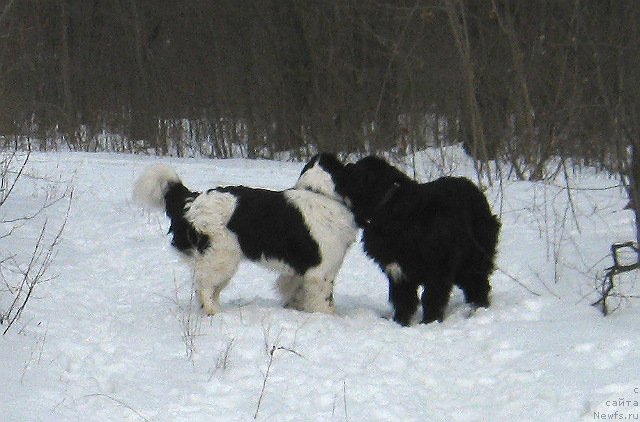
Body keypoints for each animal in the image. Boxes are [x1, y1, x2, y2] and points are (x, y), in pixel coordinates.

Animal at [133, 165, 358, 316]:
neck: (323, 195)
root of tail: (192, 200)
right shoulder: (321, 272)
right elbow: (324, 301)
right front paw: (328, 318)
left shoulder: (301, 270)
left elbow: (293, 288)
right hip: (221, 258)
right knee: (203, 287)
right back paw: (213, 312)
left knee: (209, 287)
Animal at [296, 153, 500, 324]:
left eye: (356, 171)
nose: (346, 165)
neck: (389, 207)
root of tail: (474, 187)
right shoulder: (398, 271)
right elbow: (403, 299)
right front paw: (401, 322)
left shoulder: (438, 267)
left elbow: (431, 297)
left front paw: (430, 322)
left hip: (472, 254)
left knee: (478, 281)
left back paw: (478, 308)